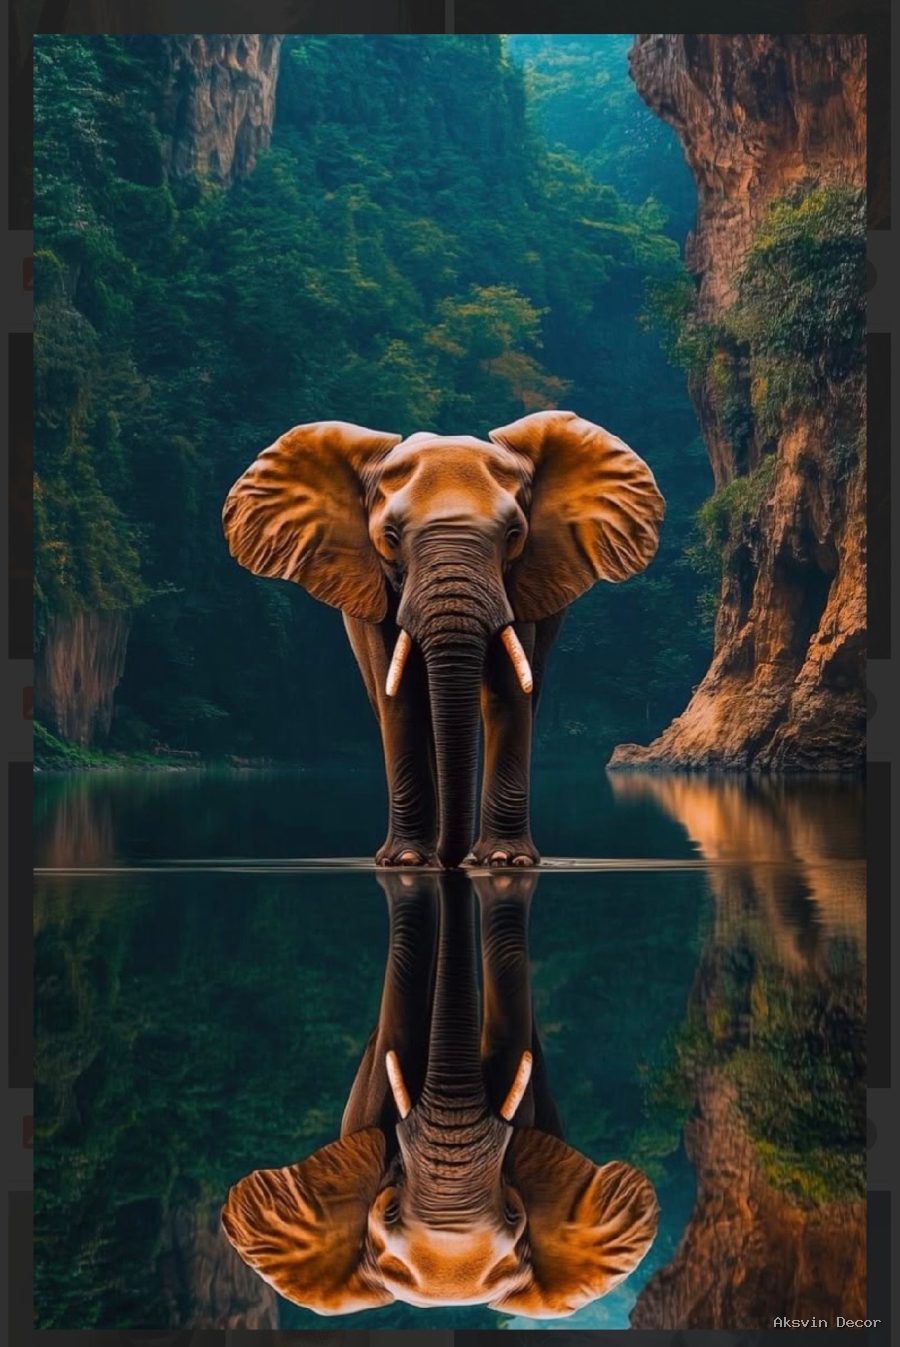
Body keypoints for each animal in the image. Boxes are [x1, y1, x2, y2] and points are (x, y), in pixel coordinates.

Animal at [223, 410, 665, 867]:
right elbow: (401, 697)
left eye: (513, 534)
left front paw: (506, 860)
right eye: (390, 537)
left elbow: (508, 691)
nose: (454, 860)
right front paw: (406, 860)